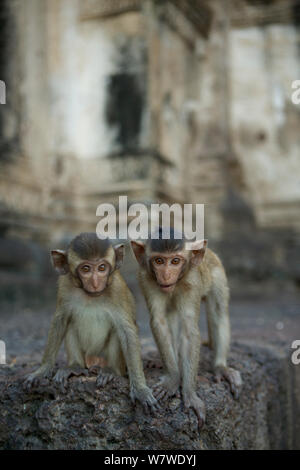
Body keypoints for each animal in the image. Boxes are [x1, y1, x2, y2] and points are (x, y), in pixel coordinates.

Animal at [24, 233, 157, 410]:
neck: (91, 295)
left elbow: (127, 331)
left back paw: (111, 371)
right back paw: (75, 367)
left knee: (116, 333)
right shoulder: (65, 285)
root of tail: (94, 362)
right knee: (71, 325)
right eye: (86, 269)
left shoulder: (117, 288)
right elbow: (60, 320)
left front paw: (140, 389)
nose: (95, 282)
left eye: (102, 268)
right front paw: (42, 371)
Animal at [130, 226, 243, 428]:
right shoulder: (146, 279)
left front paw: (190, 394)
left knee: (218, 312)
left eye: (175, 261)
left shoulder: (193, 282)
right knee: (172, 315)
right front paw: (173, 378)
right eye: (159, 261)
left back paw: (221, 367)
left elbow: (190, 330)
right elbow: (159, 321)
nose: (166, 275)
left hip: (217, 273)